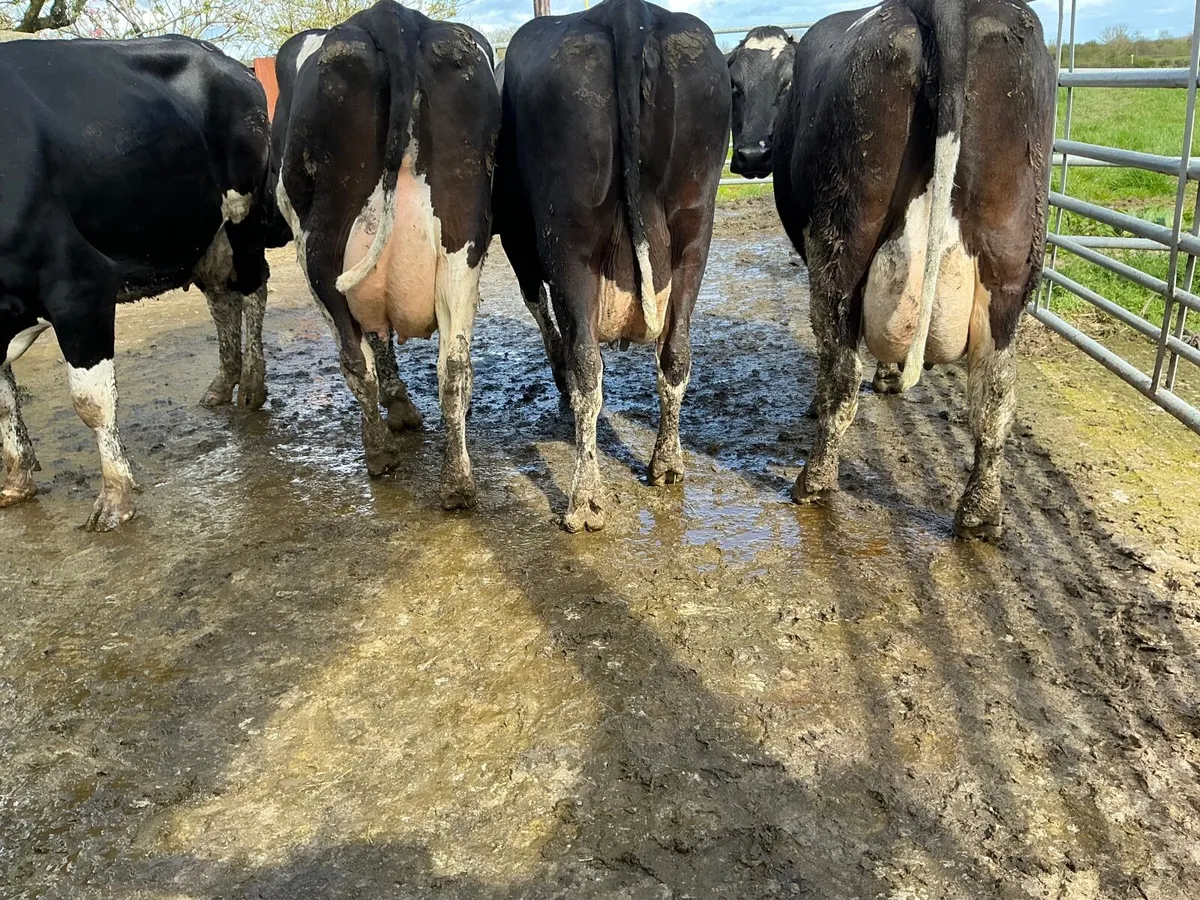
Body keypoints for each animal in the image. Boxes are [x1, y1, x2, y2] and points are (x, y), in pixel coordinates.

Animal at [0, 36, 274, 531]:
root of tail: (226, 60)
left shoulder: (79, 284)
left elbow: (91, 401)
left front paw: (116, 496)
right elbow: (5, 403)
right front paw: (16, 480)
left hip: (243, 213)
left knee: (252, 288)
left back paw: (252, 384)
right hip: (199, 230)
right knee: (221, 298)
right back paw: (222, 383)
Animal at [275, 0, 500, 509]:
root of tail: (390, 15)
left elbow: (375, 342)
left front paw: (397, 405)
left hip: (320, 252)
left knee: (353, 360)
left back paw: (379, 455)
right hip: (461, 241)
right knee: (454, 366)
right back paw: (457, 483)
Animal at [495, 0, 731, 533]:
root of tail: (625, 13)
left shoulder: (519, 240)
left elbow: (544, 313)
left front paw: (560, 378)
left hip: (568, 238)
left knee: (587, 363)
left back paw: (584, 499)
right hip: (695, 227)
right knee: (676, 352)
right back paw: (666, 464)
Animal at [772, 0, 1055, 540]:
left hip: (842, 242)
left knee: (841, 368)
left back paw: (814, 480)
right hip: (1011, 260)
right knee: (996, 391)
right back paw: (981, 514)